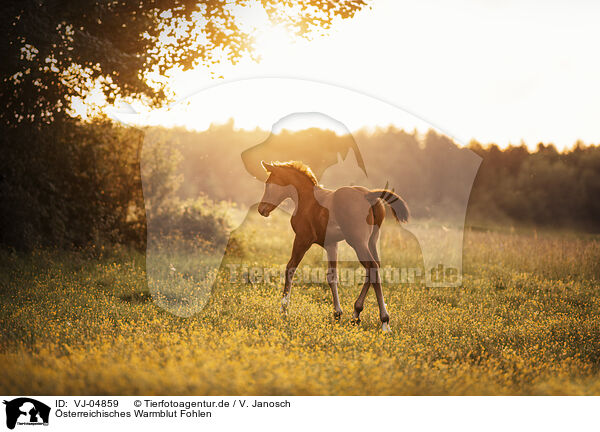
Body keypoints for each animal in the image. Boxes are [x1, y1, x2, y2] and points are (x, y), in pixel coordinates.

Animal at [255, 160, 410, 332]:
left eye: (268, 183)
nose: (261, 209)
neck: (307, 200)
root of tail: (368, 195)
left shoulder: (303, 239)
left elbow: (290, 268)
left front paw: (284, 309)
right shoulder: (331, 244)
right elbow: (332, 276)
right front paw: (337, 313)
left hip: (357, 242)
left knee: (372, 267)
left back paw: (384, 321)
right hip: (371, 241)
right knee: (373, 268)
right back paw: (356, 314)